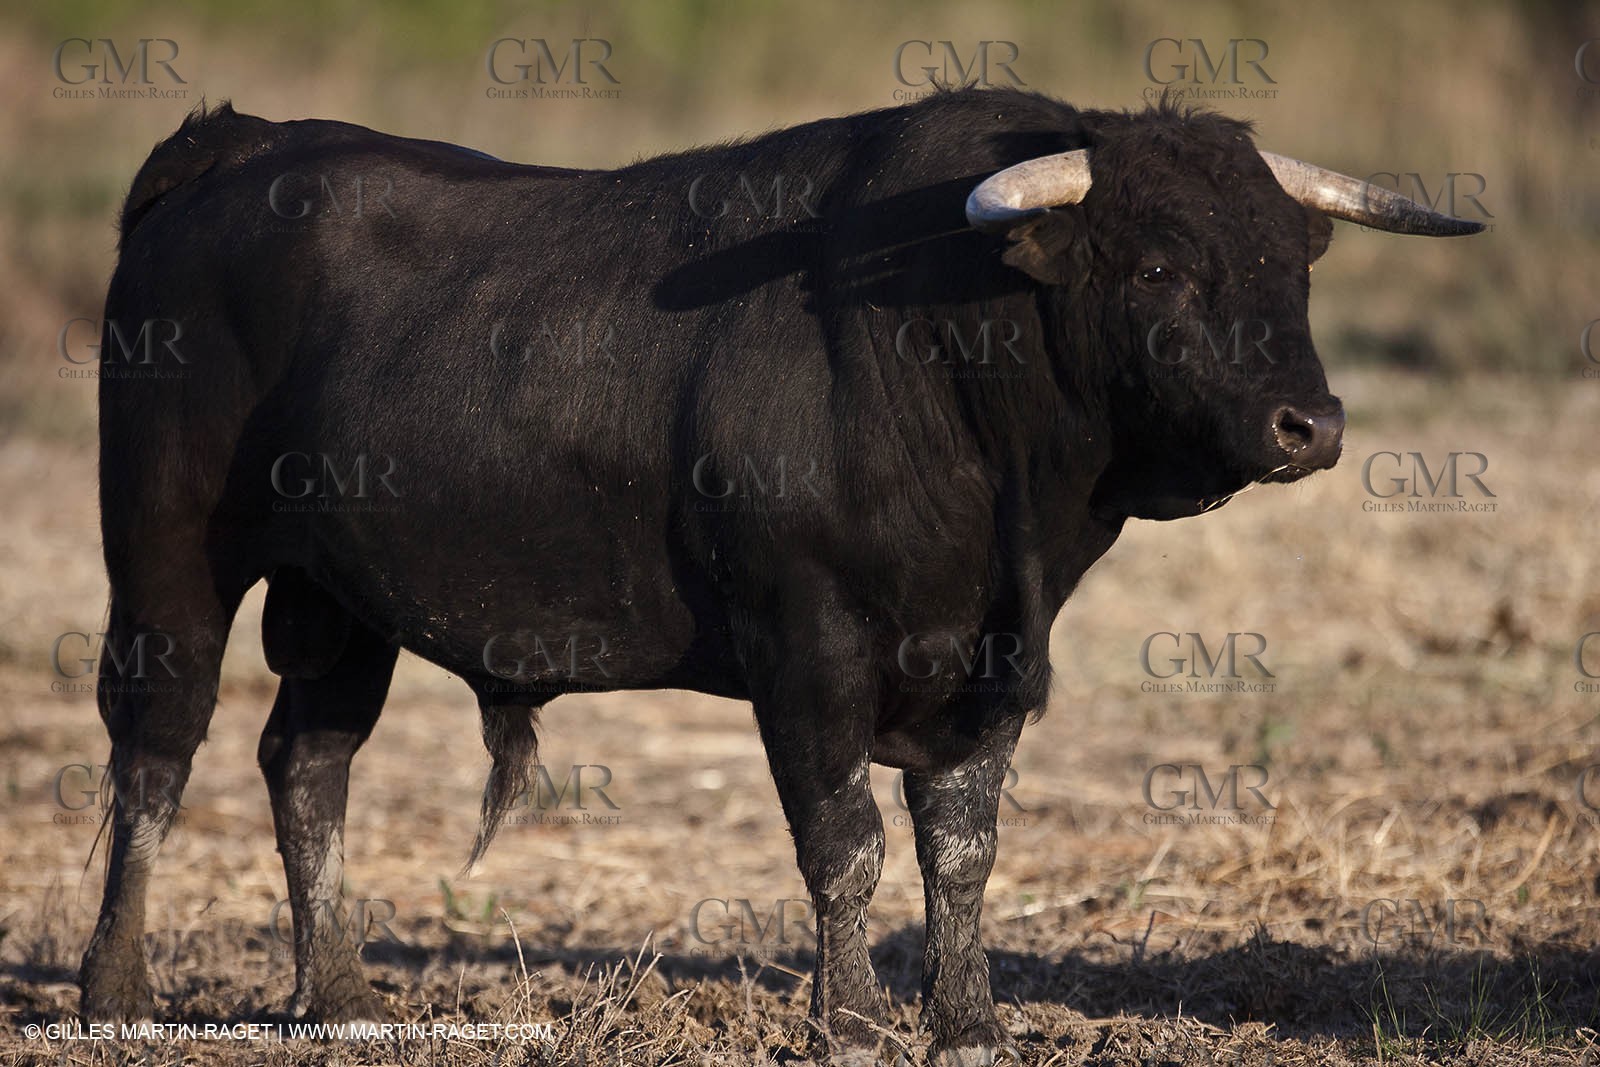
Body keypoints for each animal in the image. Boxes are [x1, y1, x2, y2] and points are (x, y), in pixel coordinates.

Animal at [80, 87, 1480, 1063]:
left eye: (1291, 263)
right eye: (1156, 264)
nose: (1311, 424)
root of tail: (240, 145)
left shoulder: (989, 659)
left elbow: (960, 844)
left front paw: (969, 1021)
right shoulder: (804, 643)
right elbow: (846, 841)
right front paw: (849, 1019)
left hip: (338, 596)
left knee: (305, 759)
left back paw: (341, 993)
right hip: (165, 557)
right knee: (156, 752)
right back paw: (119, 990)